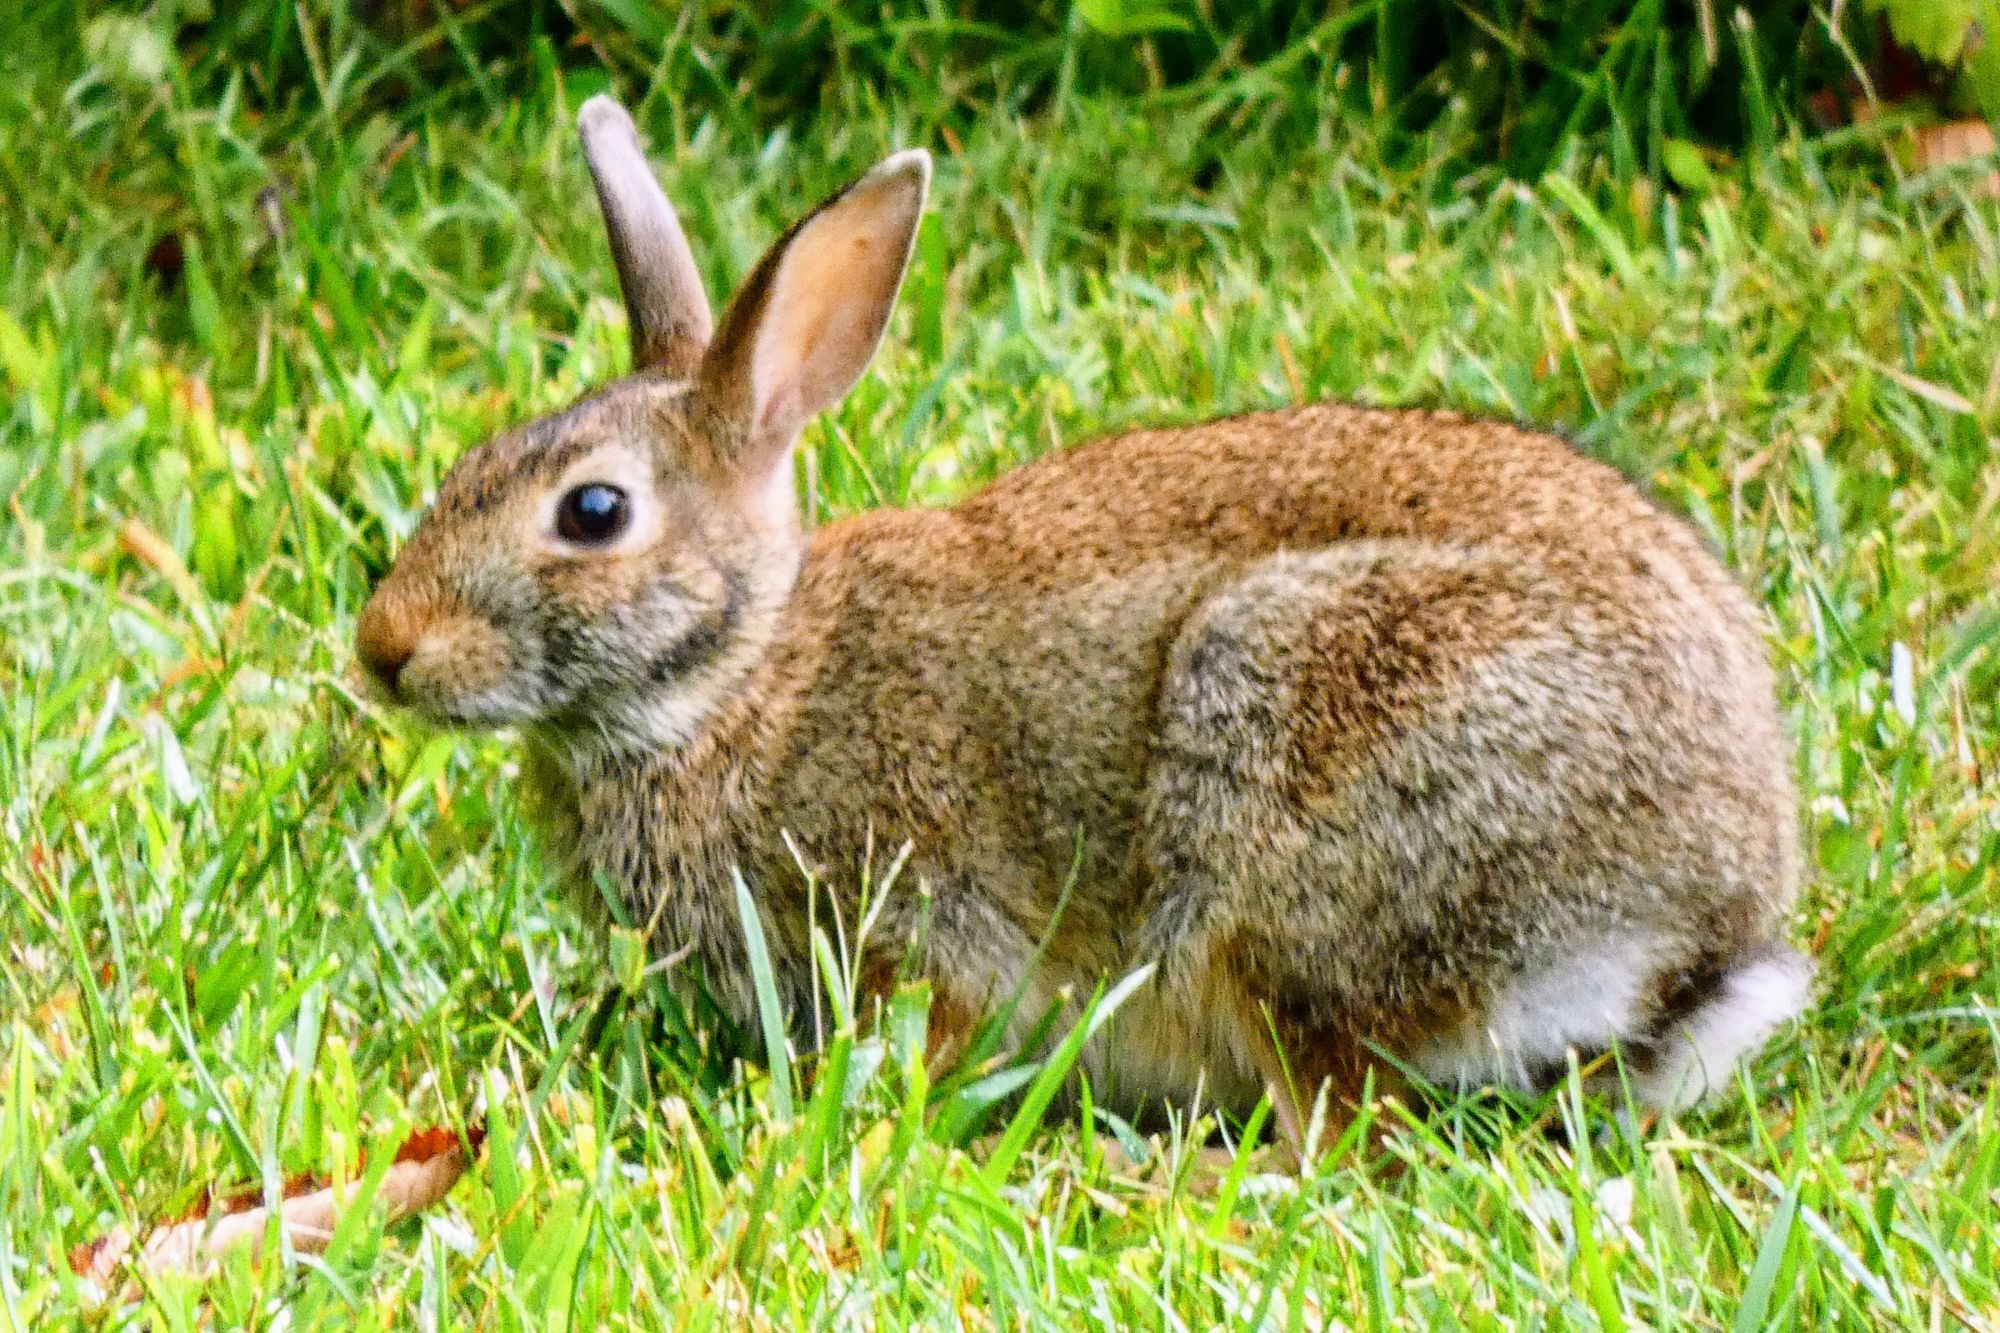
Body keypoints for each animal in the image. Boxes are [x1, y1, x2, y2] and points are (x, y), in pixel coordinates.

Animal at [360, 96, 1816, 1152]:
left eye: (593, 512)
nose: (383, 650)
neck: (741, 676)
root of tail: (1705, 924)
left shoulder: (920, 922)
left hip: (1291, 793)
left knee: (1341, 1122)